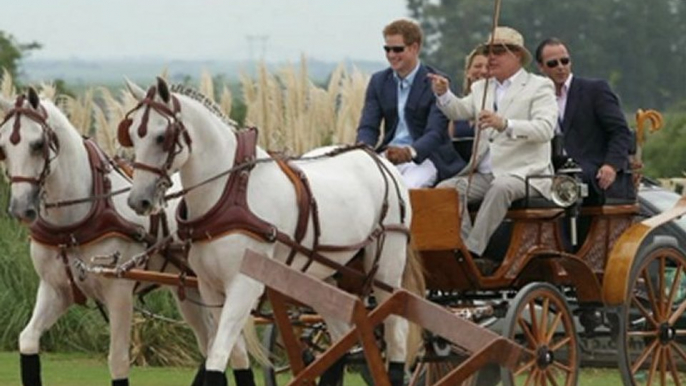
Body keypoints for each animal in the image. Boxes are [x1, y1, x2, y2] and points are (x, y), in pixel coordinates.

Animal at [0, 89, 256, 386]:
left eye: (38, 144)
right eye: (3, 148)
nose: (20, 209)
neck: (72, 224)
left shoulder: (119, 292)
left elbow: (118, 361)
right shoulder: (55, 290)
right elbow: (28, 339)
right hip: (191, 290)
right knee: (210, 342)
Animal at [123, 78, 424, 386]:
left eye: (162, 137)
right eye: (132, 134)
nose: (138, 200)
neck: (229, 192)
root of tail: (378, 158)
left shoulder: (244, 284)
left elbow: (218, 355)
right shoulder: (209, 286)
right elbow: (234, 357)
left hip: (387, 266)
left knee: (396, 332)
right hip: (325, 278)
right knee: (340, 339)